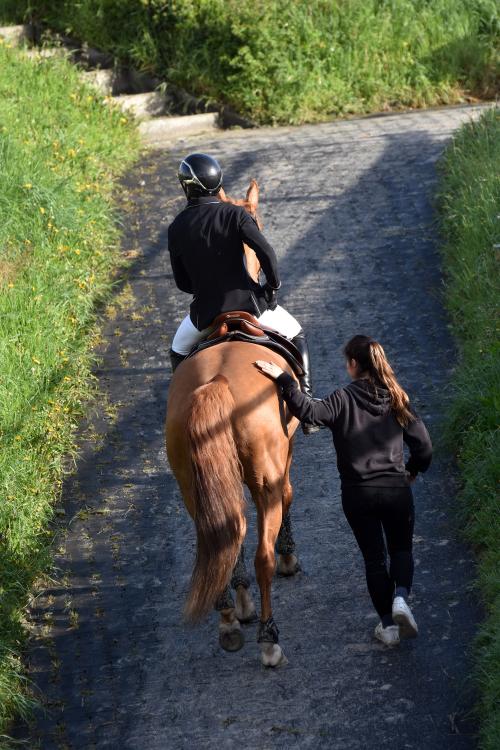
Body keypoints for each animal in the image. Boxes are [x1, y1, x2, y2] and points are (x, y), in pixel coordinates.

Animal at [166, 182, 300, 668]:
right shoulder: (282, 462)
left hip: (191, 482)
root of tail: (216, 381)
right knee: (259, 552)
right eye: (258, 221)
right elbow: (289, 500)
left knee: (222, 539)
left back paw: (229, 619)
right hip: (262, 476)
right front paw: (290, 558)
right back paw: (269, 637)